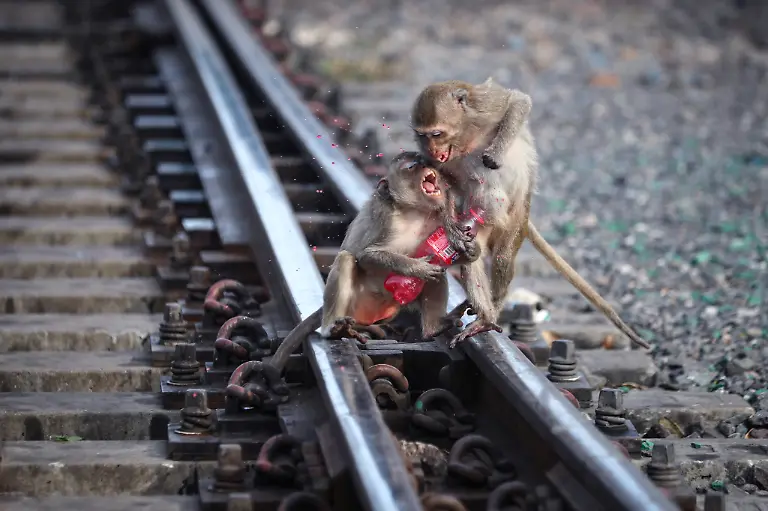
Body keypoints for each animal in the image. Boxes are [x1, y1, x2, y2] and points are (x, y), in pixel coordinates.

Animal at [266, 151, 480, 372]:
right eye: (412, 165)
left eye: (424, 160)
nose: (427, 163)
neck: (413, 212)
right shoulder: (384, 218)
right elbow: (367, 256)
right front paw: (417, 268)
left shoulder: (439, 218)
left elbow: (445, 254)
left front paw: (470, 249)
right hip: (355, 302)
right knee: (346, 259)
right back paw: (333, 330)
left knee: (438, 274)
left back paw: (435, 327)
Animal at [411, 78, 650, 350]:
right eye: (423, 136)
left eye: (437, 134)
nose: (432, 149)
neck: (462, 138)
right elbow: (443, 184)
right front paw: (451, 230)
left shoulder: (481, 106)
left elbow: (517, 102)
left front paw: (495, 153)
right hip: (480, 221)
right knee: (472, 256)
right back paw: (483, 309)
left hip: (514, 220)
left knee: (503, 257)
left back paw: (490, 313)